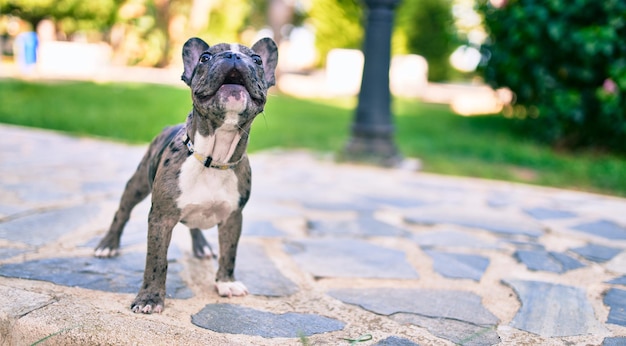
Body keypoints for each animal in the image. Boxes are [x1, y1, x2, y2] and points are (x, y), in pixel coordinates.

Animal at [92, 37, 276, 314]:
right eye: (205, 58)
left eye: (257, 60)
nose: (233, 56)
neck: (213, 158)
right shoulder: (161, 218)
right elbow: (156, 261)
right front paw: (149, 298)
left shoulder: (233, 217)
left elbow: (229, 252)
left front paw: (226, 282)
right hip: (137, 184)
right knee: (122, 212)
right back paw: (108, 244)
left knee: (194, 225)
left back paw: (201, 246)